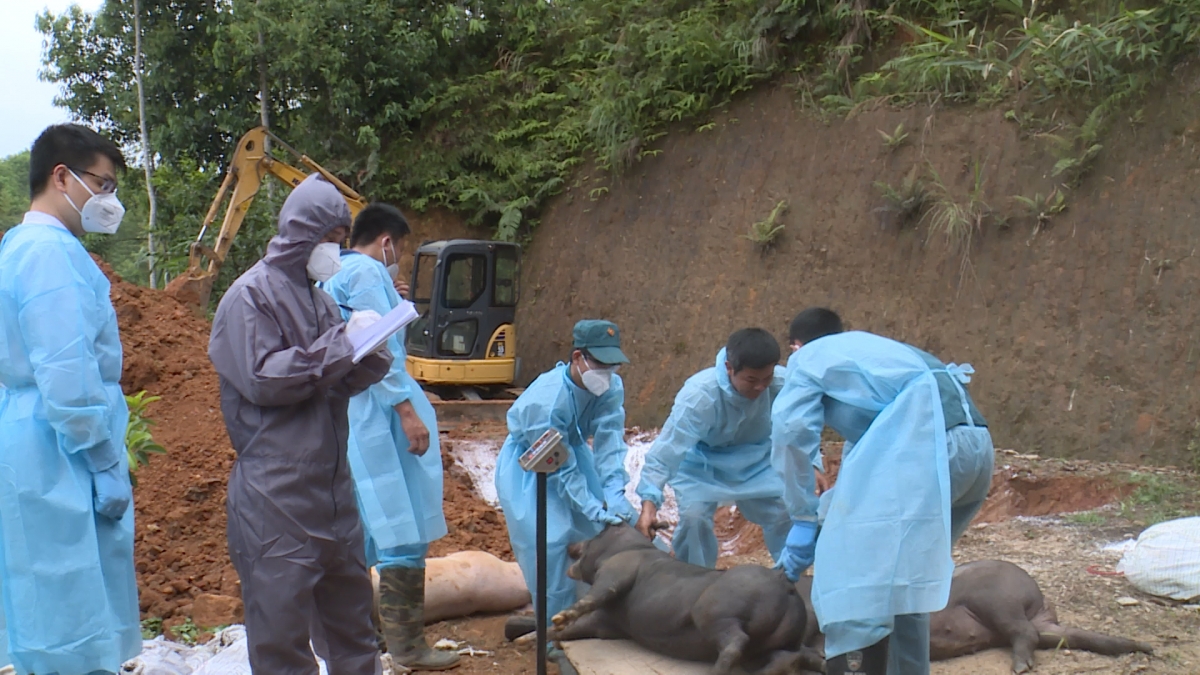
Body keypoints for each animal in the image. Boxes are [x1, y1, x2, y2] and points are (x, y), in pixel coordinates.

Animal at [549, 526, 825, 672]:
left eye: (595, 535)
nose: (570, 545)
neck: (633, 548)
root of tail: (783, 583)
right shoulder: (608, 623)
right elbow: (578, 627)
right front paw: (551, 632)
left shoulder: (618, 570)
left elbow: (597, 593)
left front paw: (558, 618)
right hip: (785, 638)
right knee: (787, 657)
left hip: (711, 610)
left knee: (736, 641)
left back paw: (716, 672)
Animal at [796, 557, 1152, 672]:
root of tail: (1037, 596)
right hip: (1041, 621)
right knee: (1061, 635)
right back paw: (1143, 648)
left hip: (994, 597)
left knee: (1025, 633)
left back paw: (1020, 668)